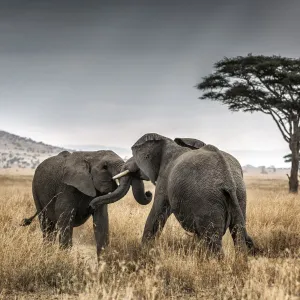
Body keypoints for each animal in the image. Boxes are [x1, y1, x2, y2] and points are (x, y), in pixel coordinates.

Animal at [20, 150, 152, 255]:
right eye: (104, 167)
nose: (149, 193)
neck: (90, 155)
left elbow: (101, 220)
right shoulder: (66, 187)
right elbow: (65, 218)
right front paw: (64, 259)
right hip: (36, 191)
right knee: (47, 226)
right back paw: (47, 252)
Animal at [90, 134, 256, 255]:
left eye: (138, 161)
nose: (91, 205)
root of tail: (228, 180)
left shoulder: (165, 177)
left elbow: (156, 214)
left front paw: (143, 254)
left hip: (209, 200)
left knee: (213, 240)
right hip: (240, 195)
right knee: (238, 233)